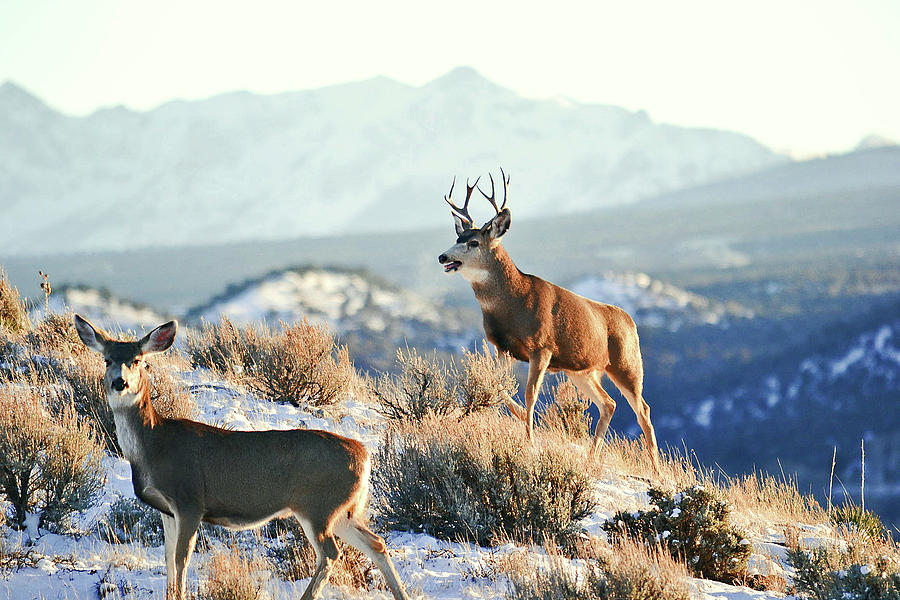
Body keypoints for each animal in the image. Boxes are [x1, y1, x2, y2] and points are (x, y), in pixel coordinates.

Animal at [74, 314, 412, 600]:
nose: (120, 382)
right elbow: (168, 560)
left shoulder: (190, 500)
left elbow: (182, 560)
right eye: (107, 359)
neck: (155, 444)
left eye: (138, 360)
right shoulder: (167, 510)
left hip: (317, 505)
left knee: (330, 554)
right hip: (343, 510)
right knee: (376, 542)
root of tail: (364, 454)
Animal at [438, 168, 660, 468]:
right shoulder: (503, 348)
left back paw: (656, 470)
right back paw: (591, 458)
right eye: (458, 238)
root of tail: (631, 322)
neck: (513, 305)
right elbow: (498, 386)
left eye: (474, 242)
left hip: (627, 364)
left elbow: (530, 394)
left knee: (643, 410)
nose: (443, 256)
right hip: (581, 370)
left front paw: (529, 439)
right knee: (608, 403)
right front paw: (523, 419)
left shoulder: (541, 346)